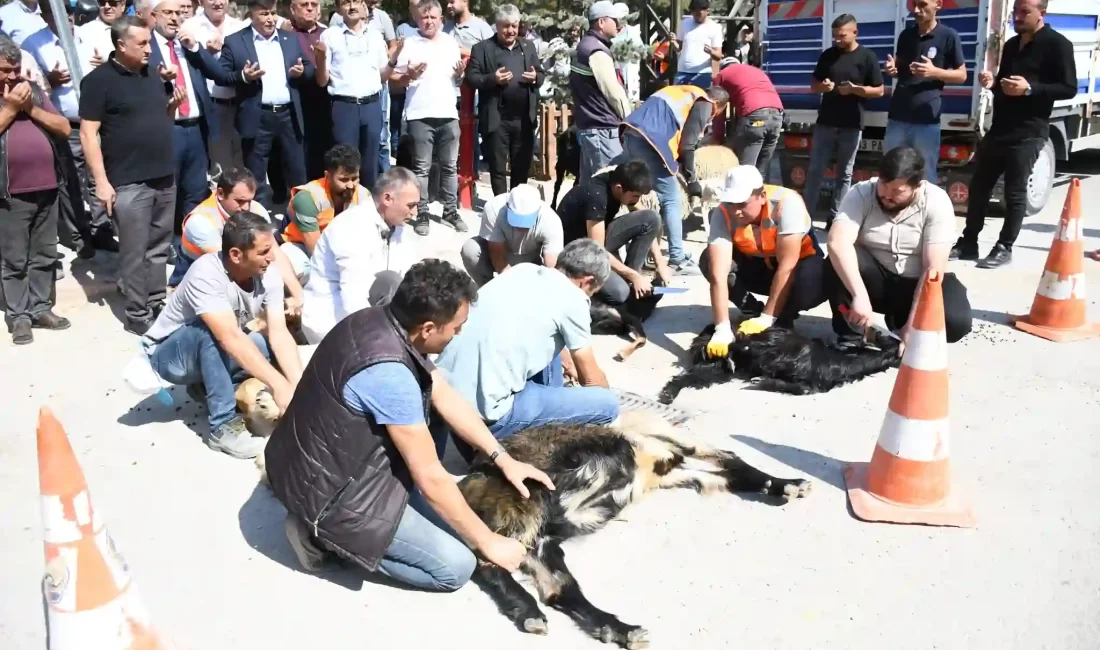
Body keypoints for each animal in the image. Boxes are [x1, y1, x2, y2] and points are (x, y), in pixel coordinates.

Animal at [459, 409, 814, 646]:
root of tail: (468, 484)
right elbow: (731, 461)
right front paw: (786, 483)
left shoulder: (672, 472)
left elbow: (728, 472)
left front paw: (783, 485)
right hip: (525, 507)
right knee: (487, 564)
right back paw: (532, 613)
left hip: (541, 540)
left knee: (558, 589)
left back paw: (615, 628)